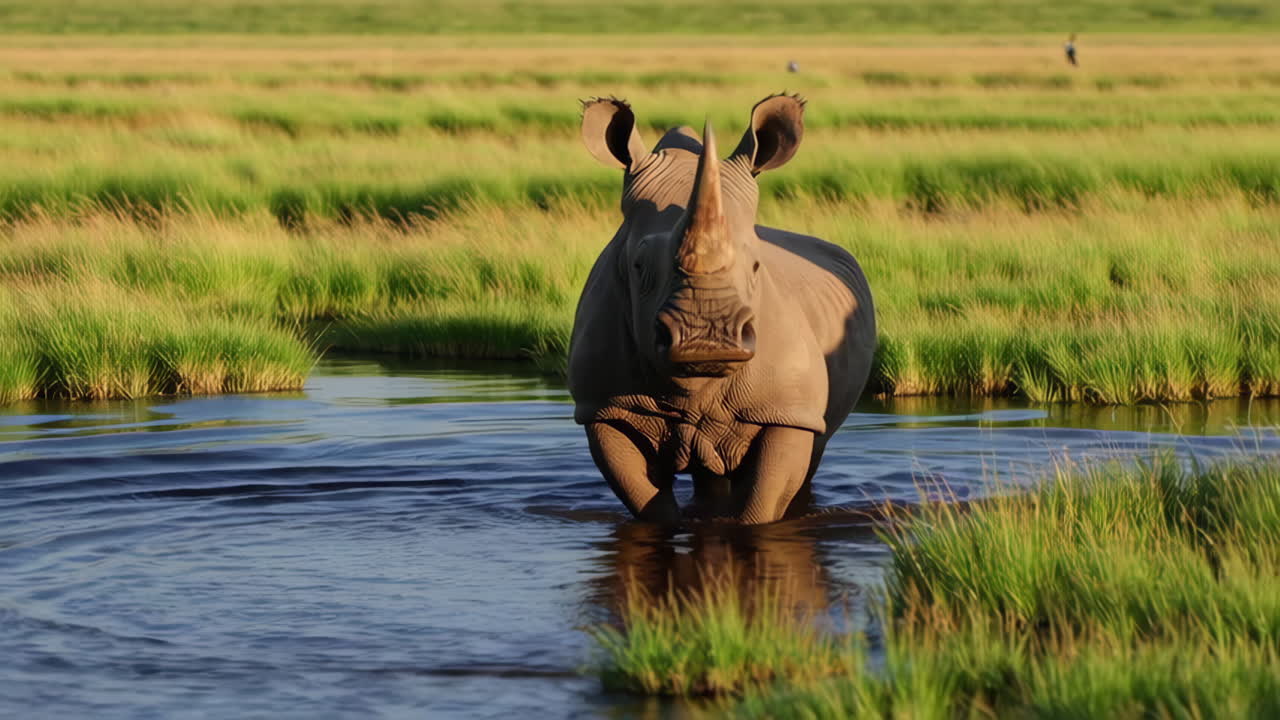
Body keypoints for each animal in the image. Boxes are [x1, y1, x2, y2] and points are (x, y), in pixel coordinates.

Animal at [568, 94, 875, 525]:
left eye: (757, 265)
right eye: (638, 266)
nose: (707, 341)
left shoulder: (788, 411)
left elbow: (762, 506)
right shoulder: (604, 409)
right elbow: (650, 505)